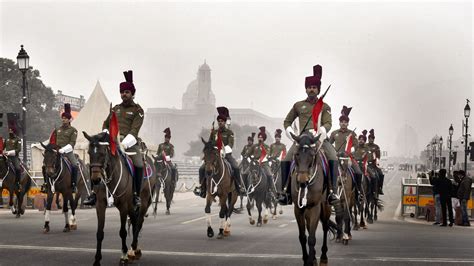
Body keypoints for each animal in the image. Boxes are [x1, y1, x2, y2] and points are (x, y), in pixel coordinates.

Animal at [82, 132, 156, 264]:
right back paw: (134, 250)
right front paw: (97, 259)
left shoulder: (123, 206)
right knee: (134, 220)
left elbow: (122, 232)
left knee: (138, 222)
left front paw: (124, 256)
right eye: (90, 153)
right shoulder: (100, 204)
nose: (96, 180)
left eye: (102, 153)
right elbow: (99, 233)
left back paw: (133, 250)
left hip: (143, 201)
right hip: (131, 205)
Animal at [288, 132, 336, 266]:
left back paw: (323, 257)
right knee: (310, 228)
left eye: (312, 155)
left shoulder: (315, 207)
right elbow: (303, 237)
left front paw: (310, 260)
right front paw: (307, 259)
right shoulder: (298, 209)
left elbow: (312, 238)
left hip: (325, 207)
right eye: (297, 154)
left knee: (325, 227)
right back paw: (314, 256)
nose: (302, 181)